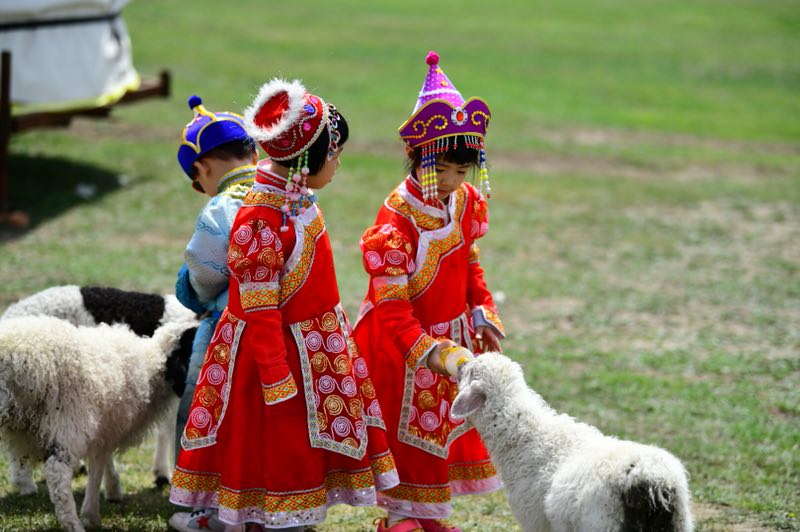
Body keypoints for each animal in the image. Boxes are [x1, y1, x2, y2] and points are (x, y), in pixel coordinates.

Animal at [0, 316, 197, 532]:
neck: (153, 363)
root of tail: (16, 354)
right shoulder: (96, 425)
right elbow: (97, 469)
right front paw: (92, 515)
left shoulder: (105, 426)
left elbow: (103, 461)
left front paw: (112, 490)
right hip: (70, 418)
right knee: (57, 472)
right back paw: (72, 523)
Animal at [450, 354, 692, 532]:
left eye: (472, 372)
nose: (460, 366)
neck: (527, 438)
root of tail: (652, 479)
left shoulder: (535, 521)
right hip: (678, 523)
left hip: (602, 523)